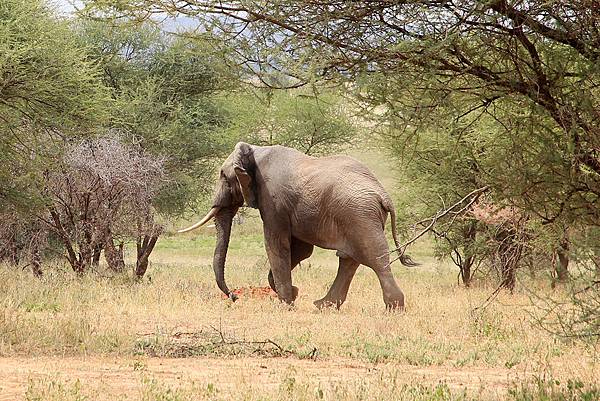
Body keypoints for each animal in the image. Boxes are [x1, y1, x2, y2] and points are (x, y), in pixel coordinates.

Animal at [178, 142, 417, 310]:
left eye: (223, 176)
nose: (235, 297)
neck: (255, 151)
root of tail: (384, 195)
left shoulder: (272, 200)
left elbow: (276, 244)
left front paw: (286, 303)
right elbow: (301, 250)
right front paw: (293, 294)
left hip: (360, 215)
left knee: (374, 258)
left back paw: (394, 308)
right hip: (359, 216)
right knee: (350, 260)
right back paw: (323, 306)